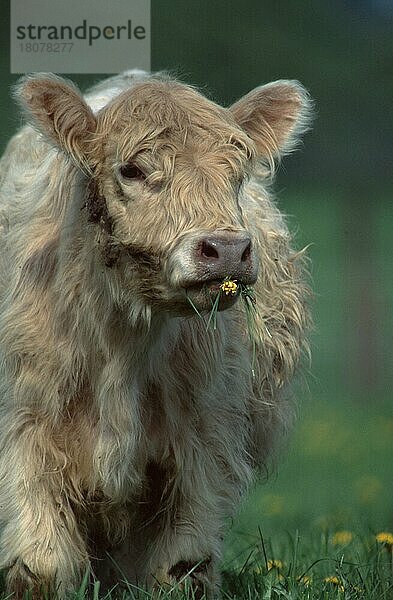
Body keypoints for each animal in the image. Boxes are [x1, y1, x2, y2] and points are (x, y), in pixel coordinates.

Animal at [0, 69, 310, 596]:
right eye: (131, 170)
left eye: (238, 171)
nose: (227, 250)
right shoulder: (24, 428)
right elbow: (41, 565)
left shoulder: (205, 445)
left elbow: (182, 567)